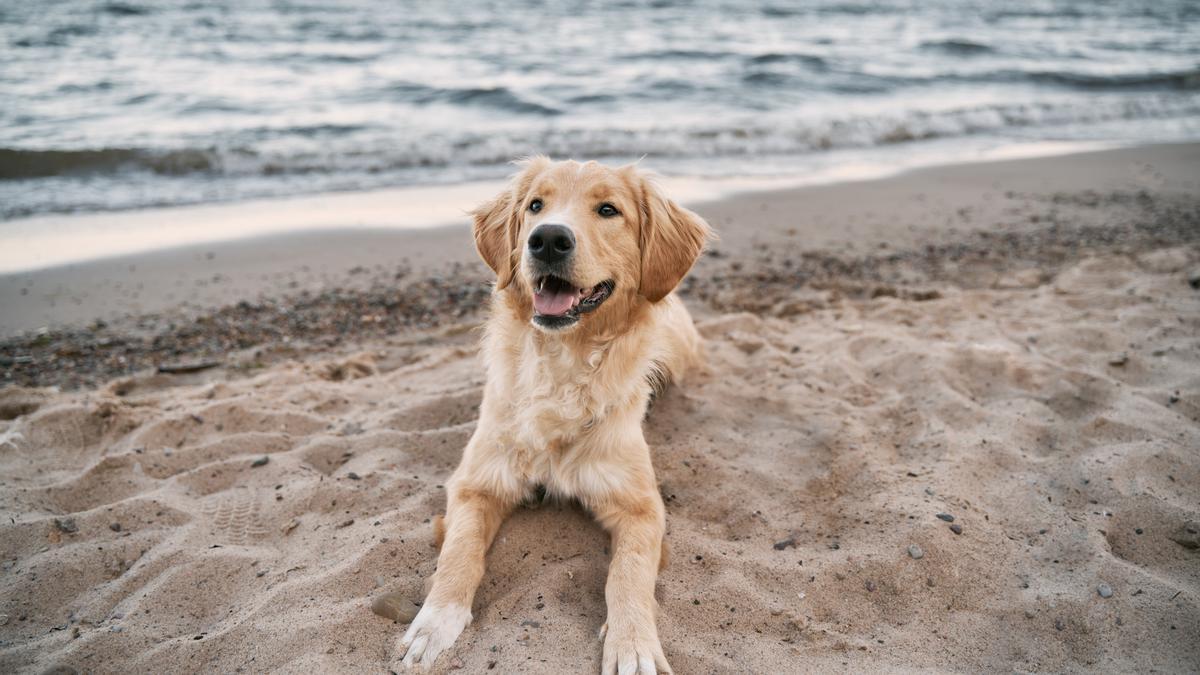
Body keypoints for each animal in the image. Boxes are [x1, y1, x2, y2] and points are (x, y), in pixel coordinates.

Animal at [393, 157, 710, 672]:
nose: (546, 239)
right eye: (535, 206)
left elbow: (629, 572)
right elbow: (458, 553)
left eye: (608, 209)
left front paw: (633, 643)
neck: (561, 364)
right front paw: (433, 623)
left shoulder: (641, 506)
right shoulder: (476, 483)